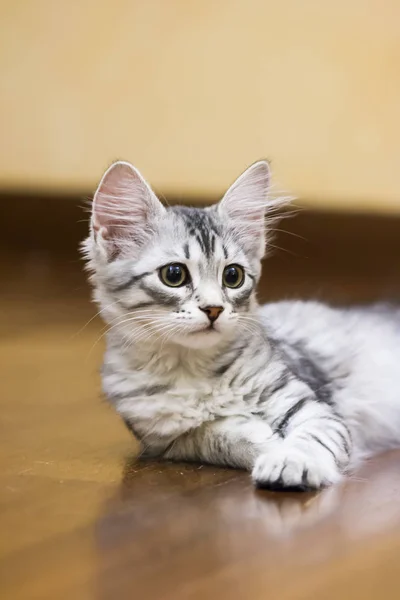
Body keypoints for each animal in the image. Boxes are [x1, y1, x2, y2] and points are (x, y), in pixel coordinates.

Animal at [83, 161, 400, 492]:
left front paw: (292, 461)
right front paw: (263, 440)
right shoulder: (167, 440)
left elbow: (311, 437)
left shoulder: (316, 409)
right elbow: (217, 435)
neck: (192, 369)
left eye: (232, 276)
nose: (213, 309)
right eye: (174, 274)